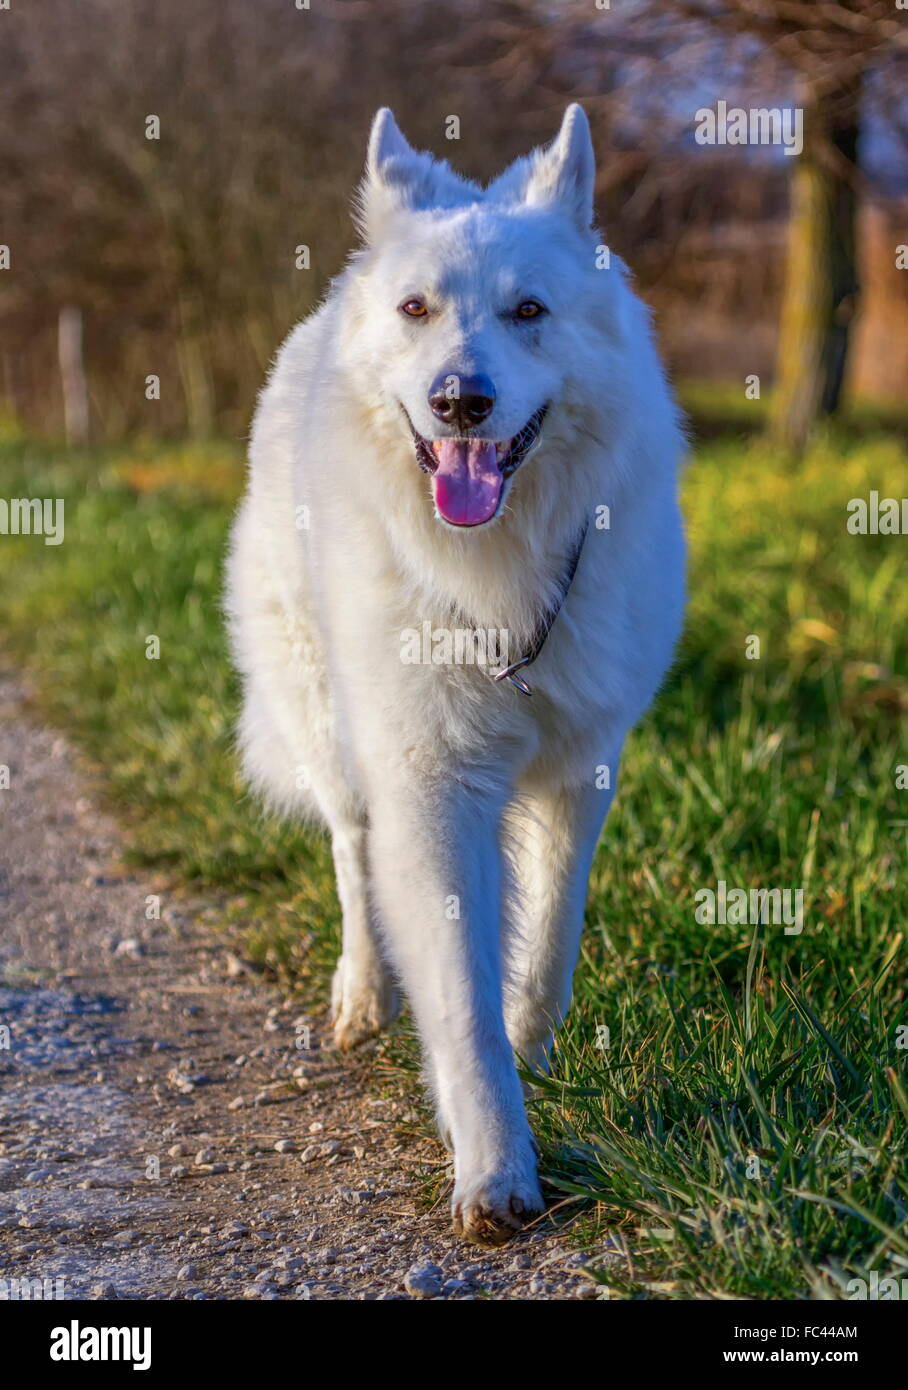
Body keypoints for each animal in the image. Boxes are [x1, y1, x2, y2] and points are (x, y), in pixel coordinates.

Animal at [225, 102, 678, 1245]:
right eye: (417, 309)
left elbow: (551, 933)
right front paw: (495, 1169)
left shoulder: (581, 764)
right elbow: (457, 1001)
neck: (495, 571)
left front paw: (532, 1043)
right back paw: (361, 995)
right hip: (326, 723)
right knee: (350, 850)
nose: (459, 401)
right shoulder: (429, 787)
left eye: (529, 311)